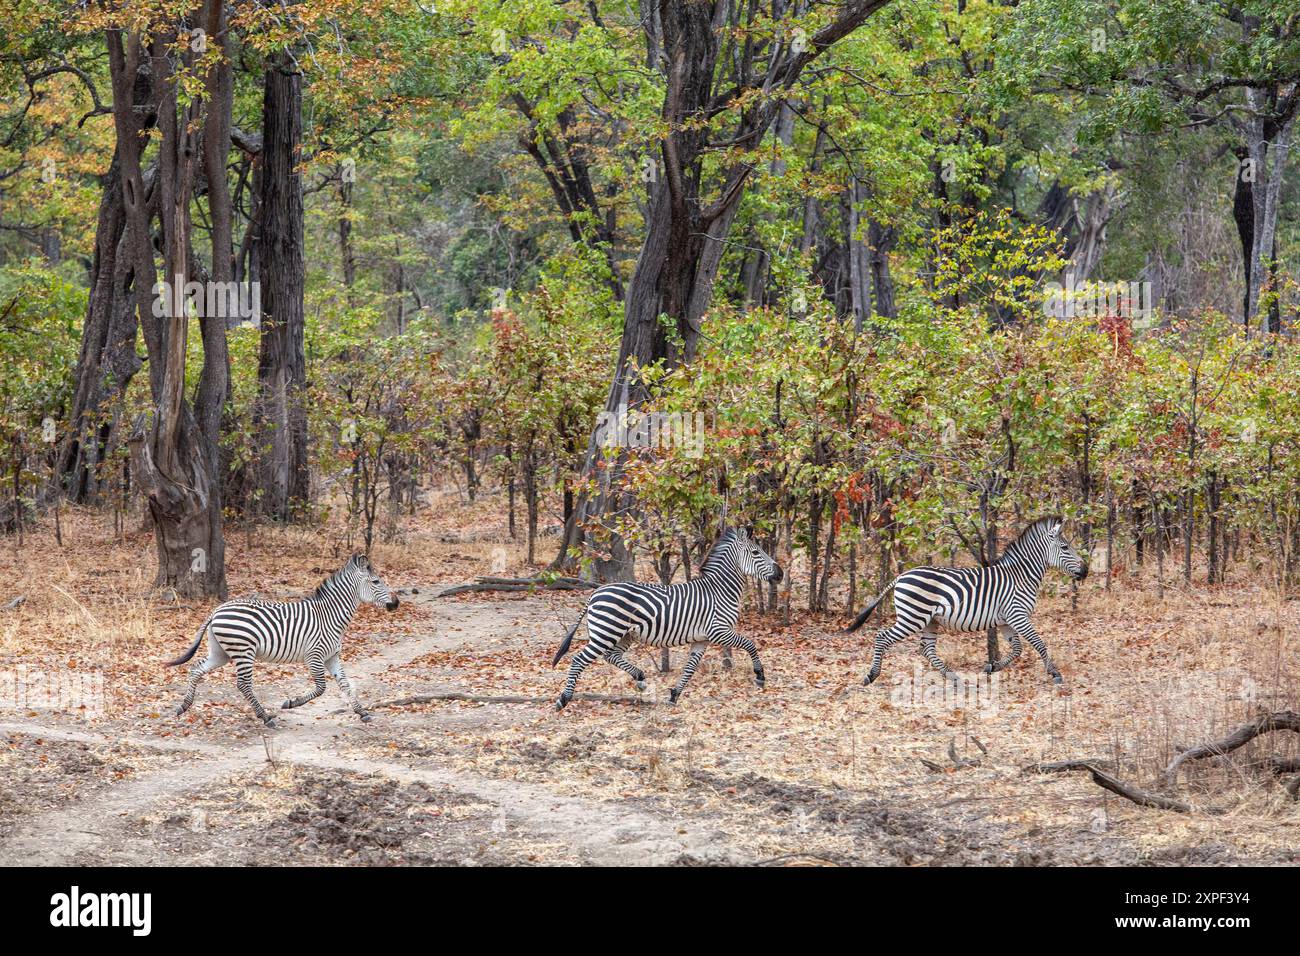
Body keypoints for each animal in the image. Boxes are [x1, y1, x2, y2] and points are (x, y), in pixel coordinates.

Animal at [167, 554, 400, 723]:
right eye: (376, 581)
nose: (396, 603)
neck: (330, 615)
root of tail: (216, 611)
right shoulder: (314, 656)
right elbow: (321, 688)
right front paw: (290, 703)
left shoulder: (332, 656)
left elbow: (345, 684)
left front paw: (362, 712)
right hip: (243, 651)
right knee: (243, 684)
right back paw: (265, 717)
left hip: (221, 652)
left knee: (196, 669)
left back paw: (183, 707)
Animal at [551, 530, 780, 712]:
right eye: (756, 553)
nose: (781, 573)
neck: (719, 591)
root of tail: (596, 592)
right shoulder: (718, 631)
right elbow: (750, 644)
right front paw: (760, 676)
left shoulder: (702, 639)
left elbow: (690, 669)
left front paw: (674, 695)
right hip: (606, 632)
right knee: (579, 660)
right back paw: (564, 699)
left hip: (623, 634)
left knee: (611, 656)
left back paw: (640, 679)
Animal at [842, 515, 1086, 686]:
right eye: (1065, 547)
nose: (1085, 571)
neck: (1020, 575)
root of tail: (901, 576)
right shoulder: (1017, 614)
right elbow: (1038, 643)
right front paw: (1054, 673)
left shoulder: (1006, 620)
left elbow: (1017, 649)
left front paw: (992, 667)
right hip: (913, 617)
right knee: (882, 637)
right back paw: (872, 675)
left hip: (930, 620)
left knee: (927, 649)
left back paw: (953, 677)